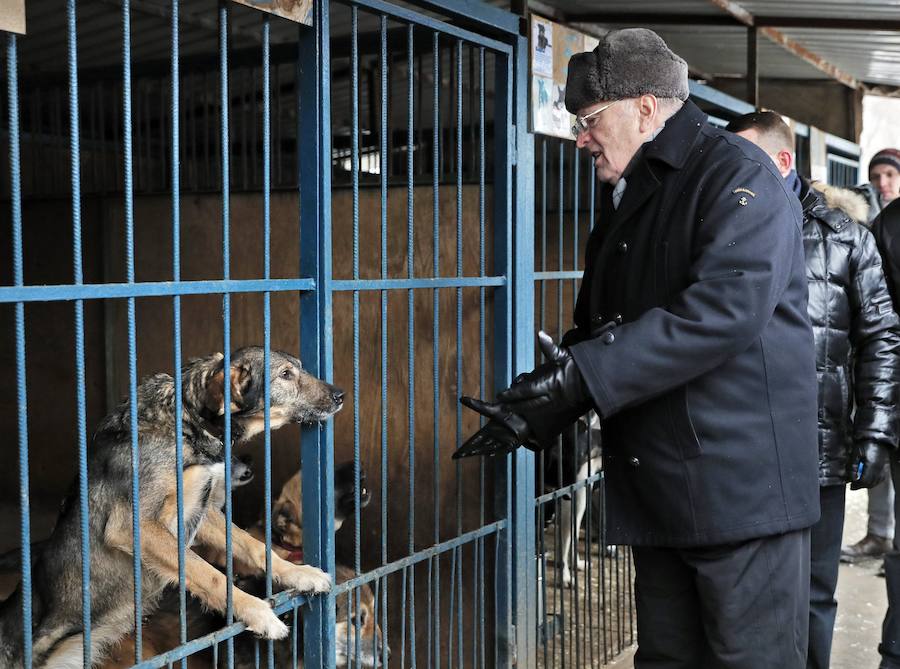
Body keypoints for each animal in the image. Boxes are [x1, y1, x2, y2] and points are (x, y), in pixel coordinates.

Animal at [0, 348, 342, 668]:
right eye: (285, 375)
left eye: (300, 368)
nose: (340, 395)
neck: (187, 418)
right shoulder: (135, 525)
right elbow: (208, 573)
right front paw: (257, 611)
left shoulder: (203, 511)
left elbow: (253, 545)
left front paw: (298, 573)